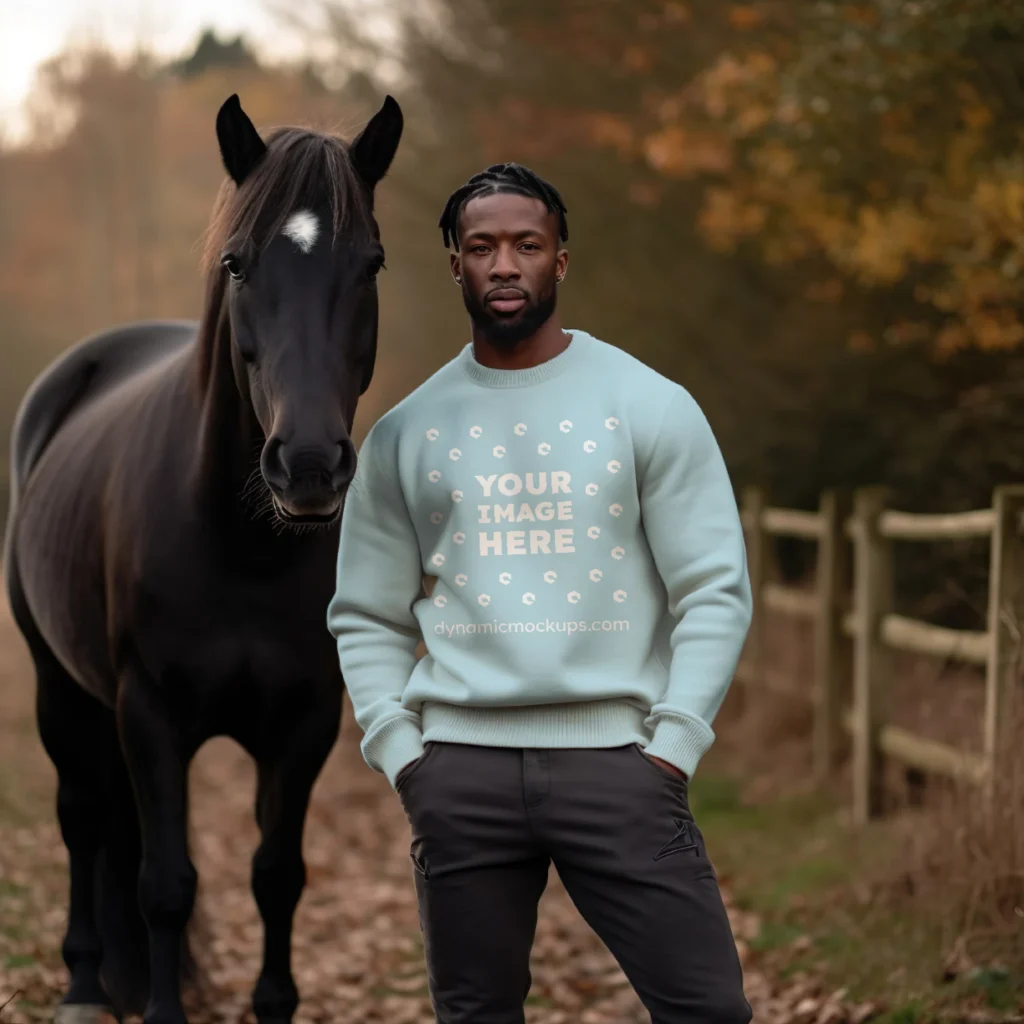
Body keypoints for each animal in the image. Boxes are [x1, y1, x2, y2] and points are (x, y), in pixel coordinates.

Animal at [4, 92, 403, 1019]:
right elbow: (166, 884)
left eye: (371, 264)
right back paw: (84, 985)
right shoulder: (150, 716)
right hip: (59, 688)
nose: (308, 464)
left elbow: (277, 877)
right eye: (237, 264)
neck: (240, 549)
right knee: (84, 817)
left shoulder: (305, 724)